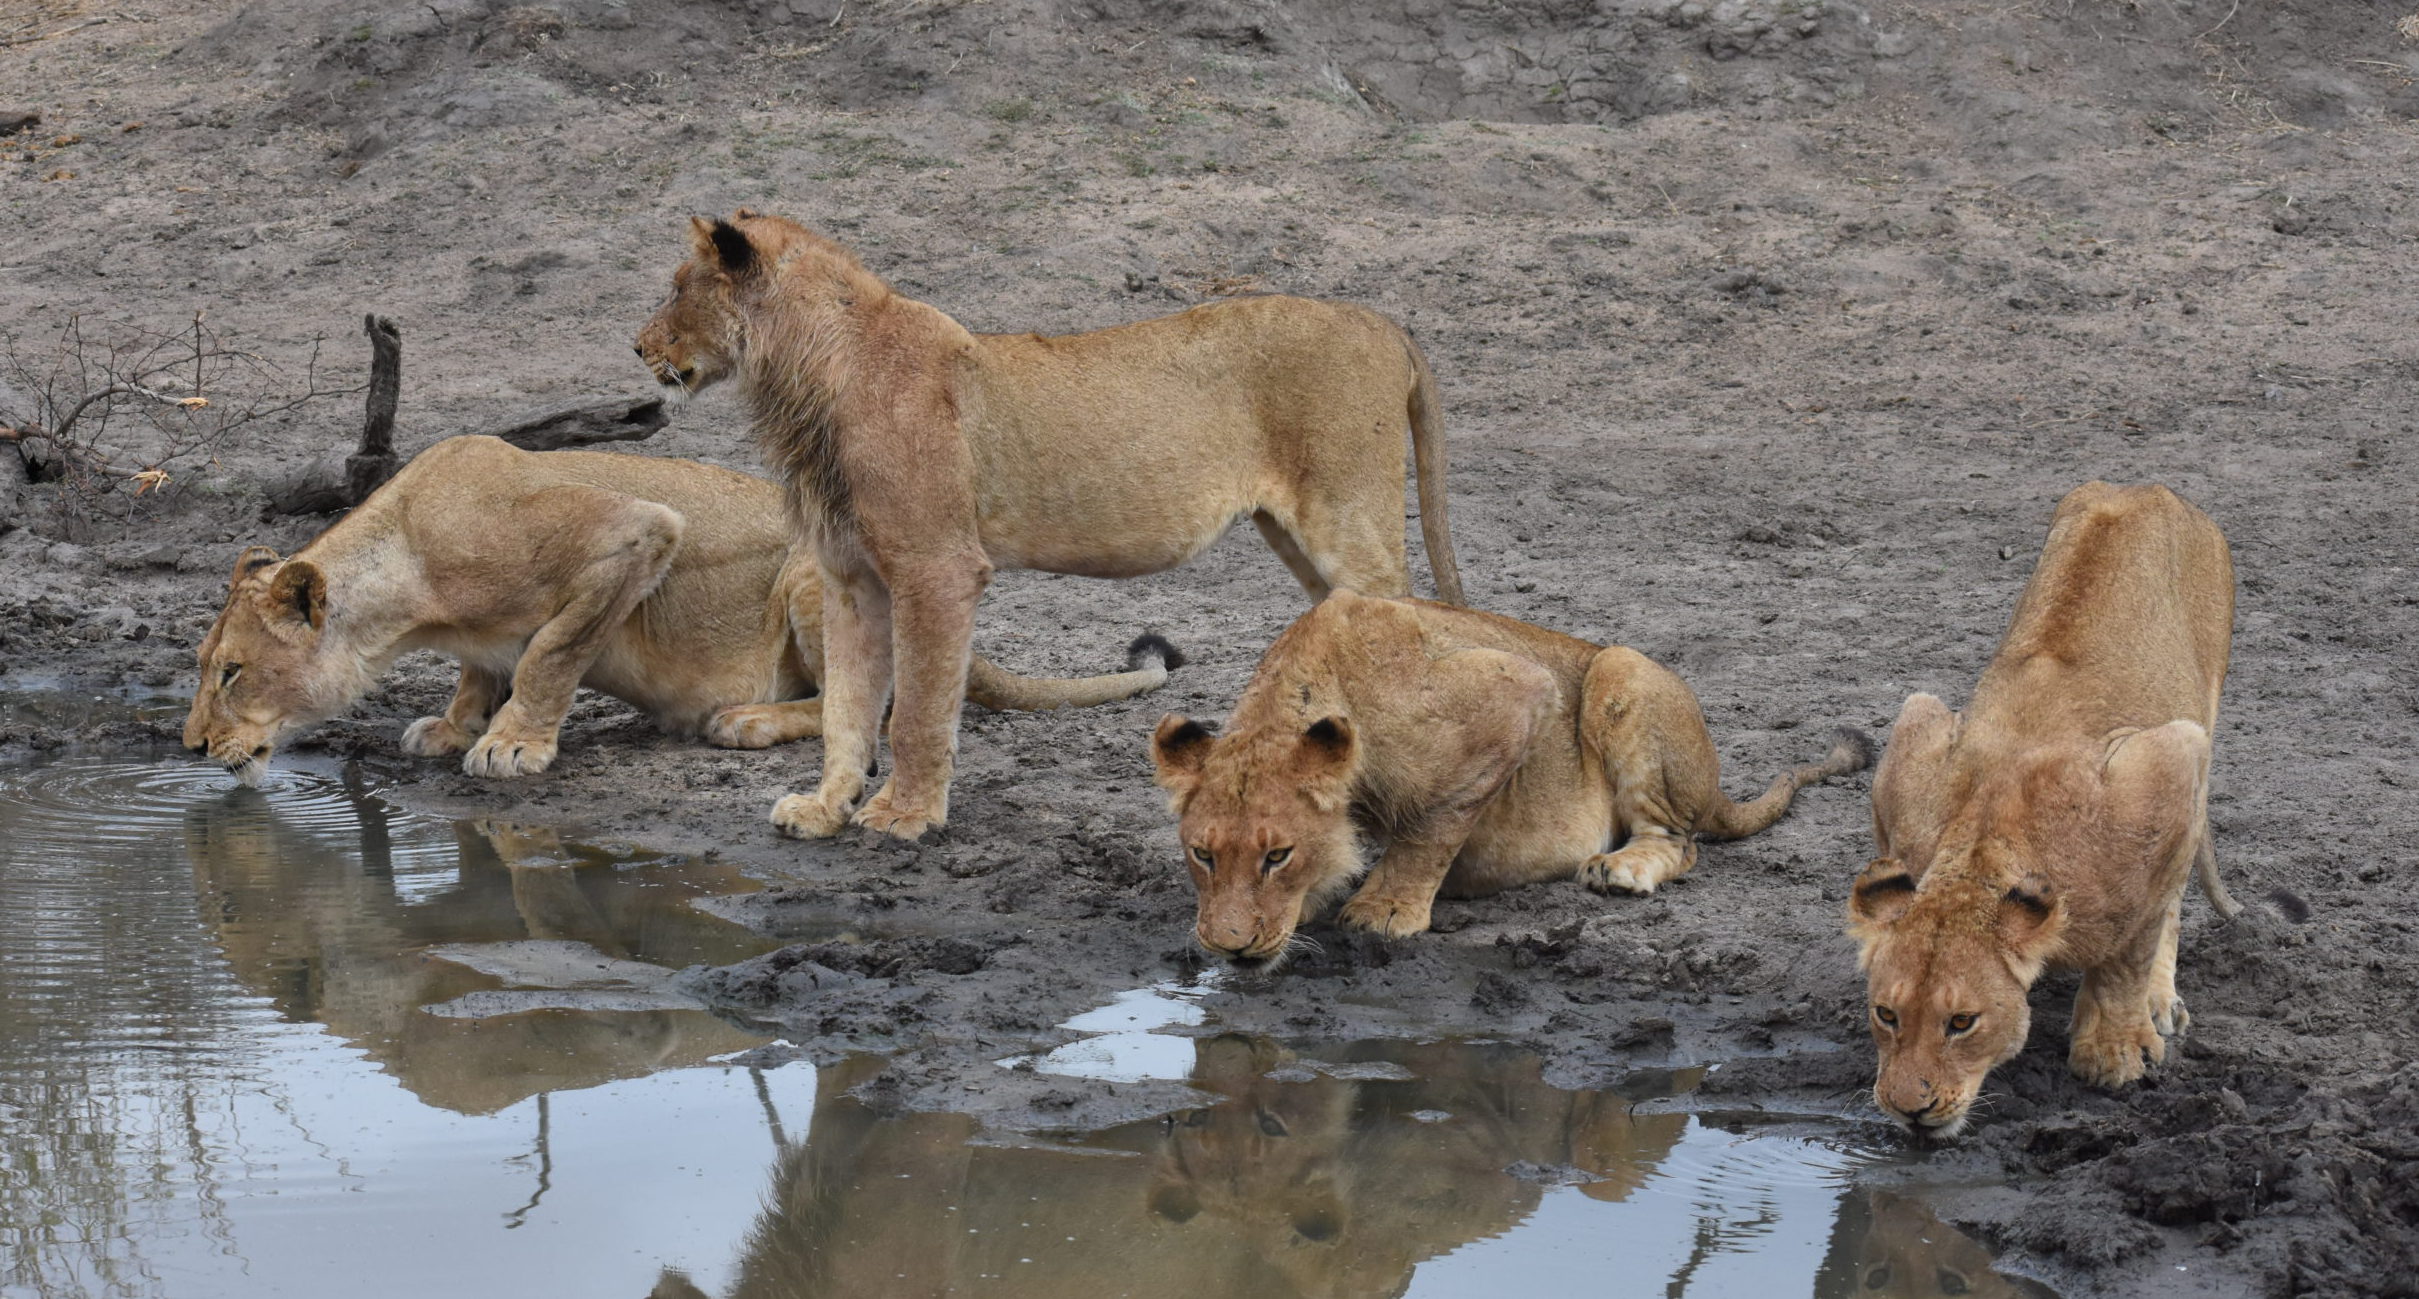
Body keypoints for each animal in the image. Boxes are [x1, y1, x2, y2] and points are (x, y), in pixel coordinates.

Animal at [181, 435, 1180, 783]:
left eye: (231, 672)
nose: (189, 748)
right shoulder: (480, 630)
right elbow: (485, 664)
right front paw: (456, 721)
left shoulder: (633, 533)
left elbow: (547, 655)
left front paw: (510, 742)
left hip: (819, 574)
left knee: (871, 703)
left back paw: (743, 719)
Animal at [1146, 587, 1867, 962]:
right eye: (1202, 854)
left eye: (1278, 855)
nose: (1226, 945)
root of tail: (1717, 786)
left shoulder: (1518, 689)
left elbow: (1433, 826)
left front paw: (1384, 909)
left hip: (1620, 668)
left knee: (1678, 841)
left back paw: (1620, 869)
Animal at [1848, 481, 2244, 1127]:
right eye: (1886, 1014)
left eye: (1962, 1023)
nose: (1909, 1110)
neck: (1980, 851)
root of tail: (2144, 487)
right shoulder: (1913, 737)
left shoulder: (2168, 763)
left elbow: (2129, 952)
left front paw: (2113, 1055)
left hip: (2203, 717)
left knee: (2172, 896)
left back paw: (2159, 1001)